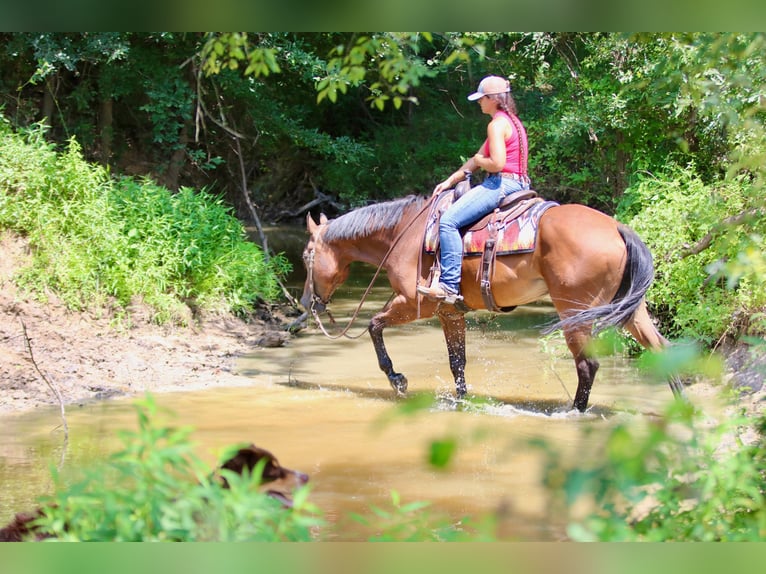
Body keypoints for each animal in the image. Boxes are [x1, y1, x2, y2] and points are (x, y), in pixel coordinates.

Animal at [299, 194, 684, 412]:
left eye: (306, 256)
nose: (306, 302)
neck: (403, 236)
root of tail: (618, 228)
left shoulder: (412, 304)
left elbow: (373, 325)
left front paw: (397, 379)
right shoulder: (449, 312)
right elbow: (457, 362)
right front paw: (461, 401)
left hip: (575, 312)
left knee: (587, 366)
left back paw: (575, 413)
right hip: (631, 311)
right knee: (662, 350)